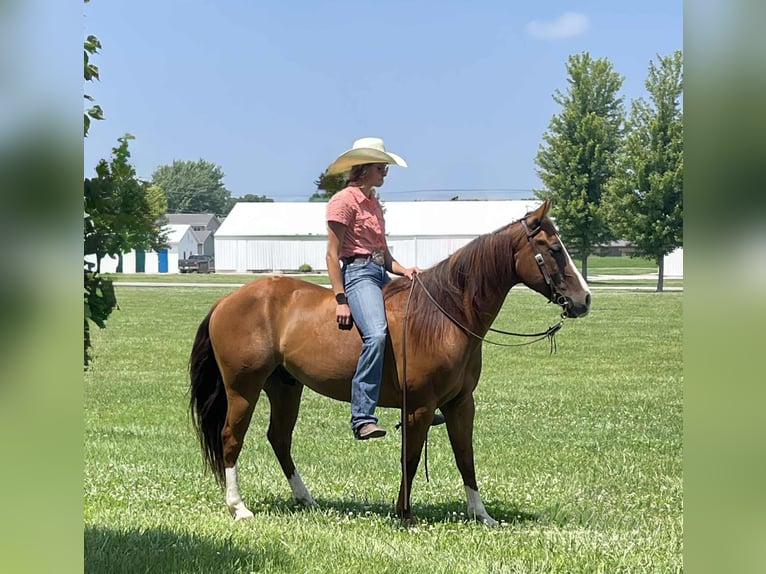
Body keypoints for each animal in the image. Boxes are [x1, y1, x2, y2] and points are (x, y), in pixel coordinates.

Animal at [189, 199, 591, 525]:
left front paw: (482, 515)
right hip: (243, 388)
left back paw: (306, 499)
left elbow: (465, 457)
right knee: (231, 438)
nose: (584, 299)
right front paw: (405, 513)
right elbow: (409, 459)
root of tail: (226, 301)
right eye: (554, 248)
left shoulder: (461, 404)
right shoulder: (420, 406)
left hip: (285, 387)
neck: (444, 315)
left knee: (279, 439)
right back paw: (239, 507)